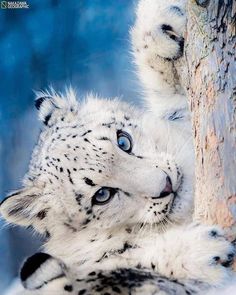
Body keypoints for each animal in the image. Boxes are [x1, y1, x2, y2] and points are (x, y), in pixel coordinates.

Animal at [0, 0, 235, 294]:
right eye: (102, 195)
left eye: (123, 141)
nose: (166, 185)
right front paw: (202, 252)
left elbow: (175, 102)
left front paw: (161, 22)